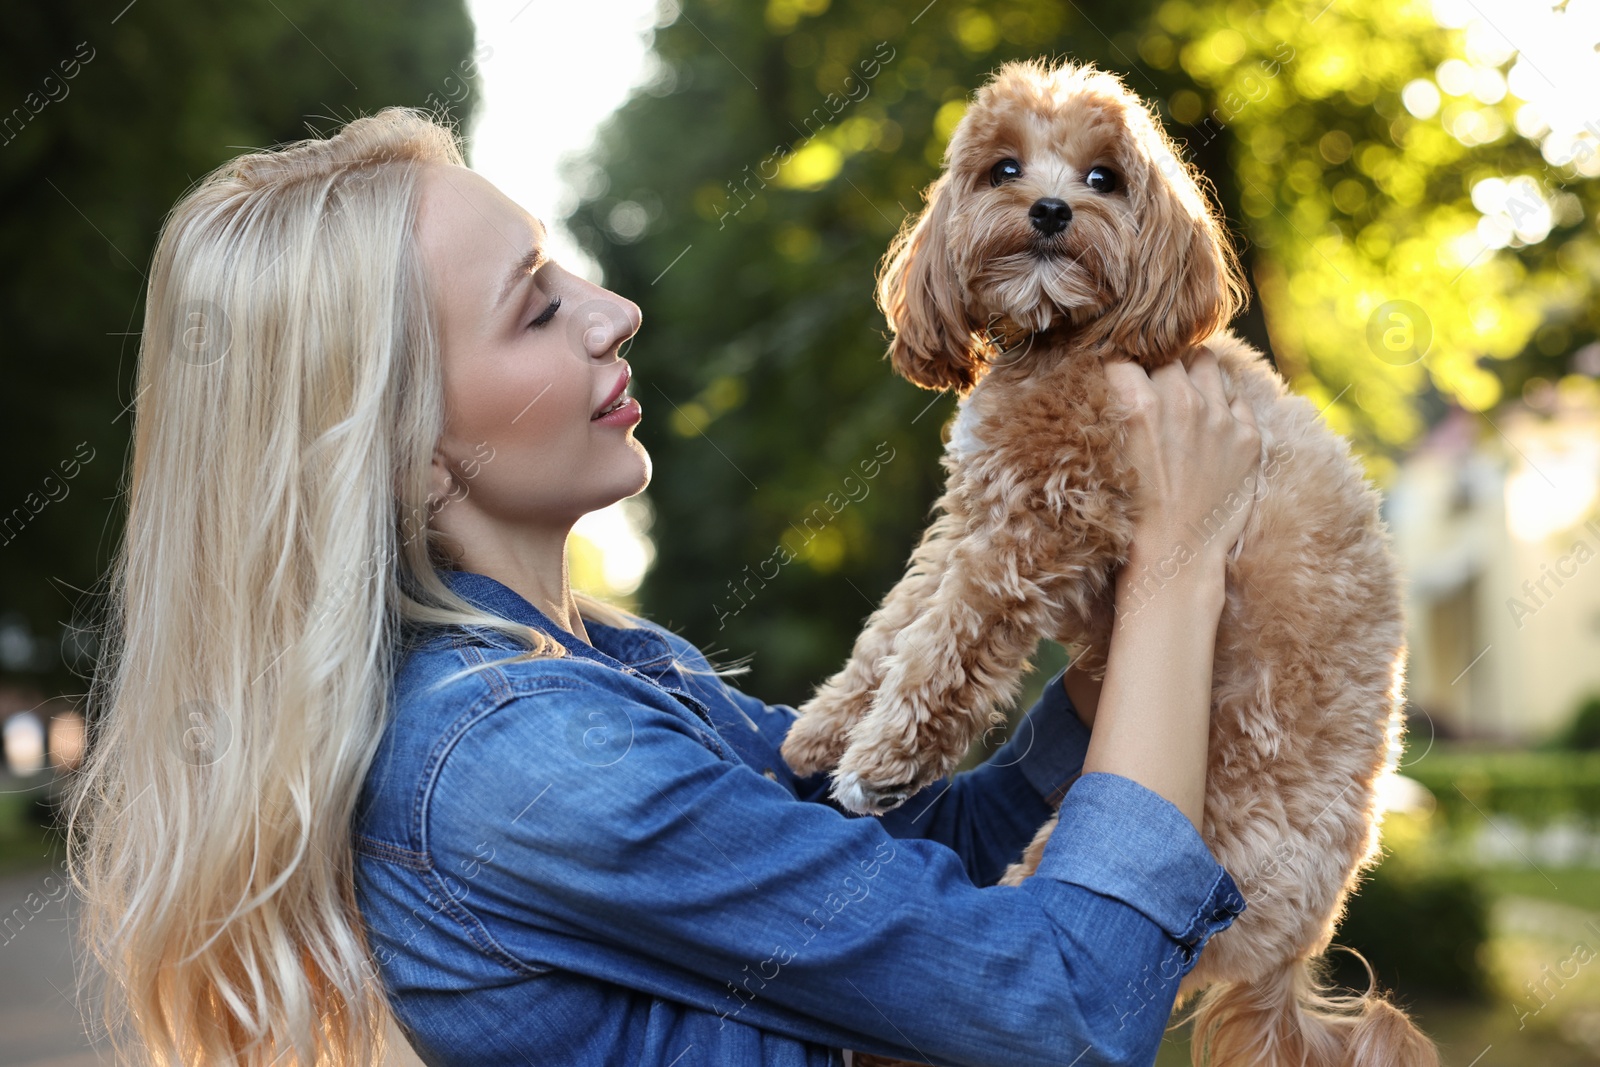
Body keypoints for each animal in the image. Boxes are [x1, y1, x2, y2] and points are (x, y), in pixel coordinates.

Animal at [780, 60, 1446, 1067]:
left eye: (1104, 178)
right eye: (1004, 168)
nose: (1052, 209)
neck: (1068, 341)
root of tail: (1295, 955)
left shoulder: (1044, 527)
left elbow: (946, 642)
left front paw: (884, 757)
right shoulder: (975, 515)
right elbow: (894, 627)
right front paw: (821, 732)